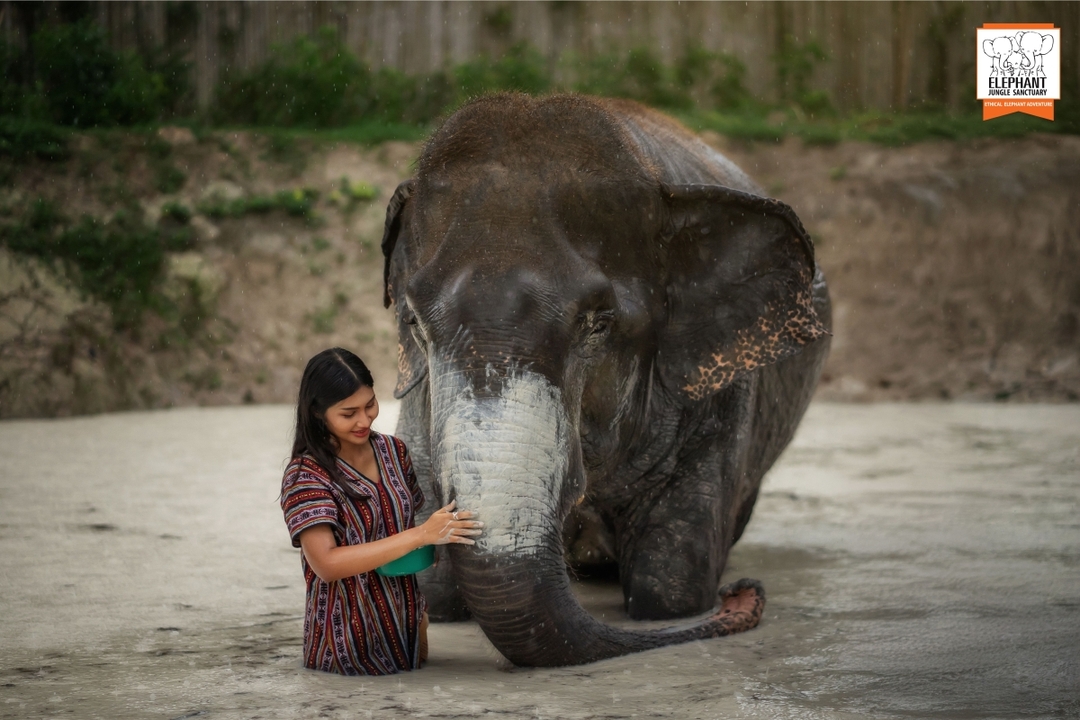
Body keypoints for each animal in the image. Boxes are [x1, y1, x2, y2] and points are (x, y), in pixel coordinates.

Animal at [381, 93, 831, 667]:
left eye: (597, 323)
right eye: (416, 322)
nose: (742, 594)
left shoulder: (721, 397)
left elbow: (669, 587)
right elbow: (434, 589)